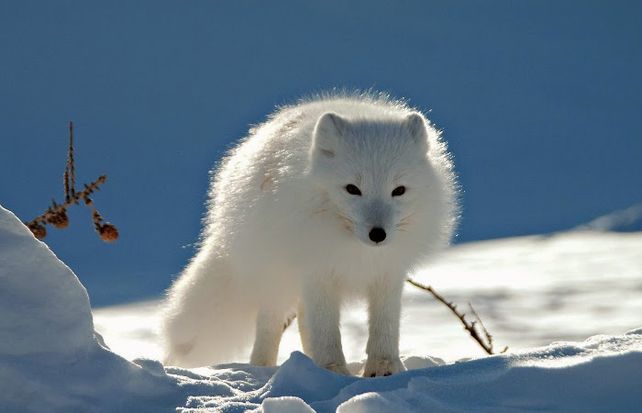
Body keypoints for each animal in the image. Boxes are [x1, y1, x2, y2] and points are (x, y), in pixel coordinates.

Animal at [162, 92, 458, 377]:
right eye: (352, 189)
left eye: (399, 190)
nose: (378, 234)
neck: (356, 250)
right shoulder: (318, 269)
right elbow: (325, 331)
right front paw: (332, 371)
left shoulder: (388, 272)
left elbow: (384, 326)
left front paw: (384, 369)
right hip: (276, 276)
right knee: (271, 324)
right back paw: (263, 368)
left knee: (304, 321)